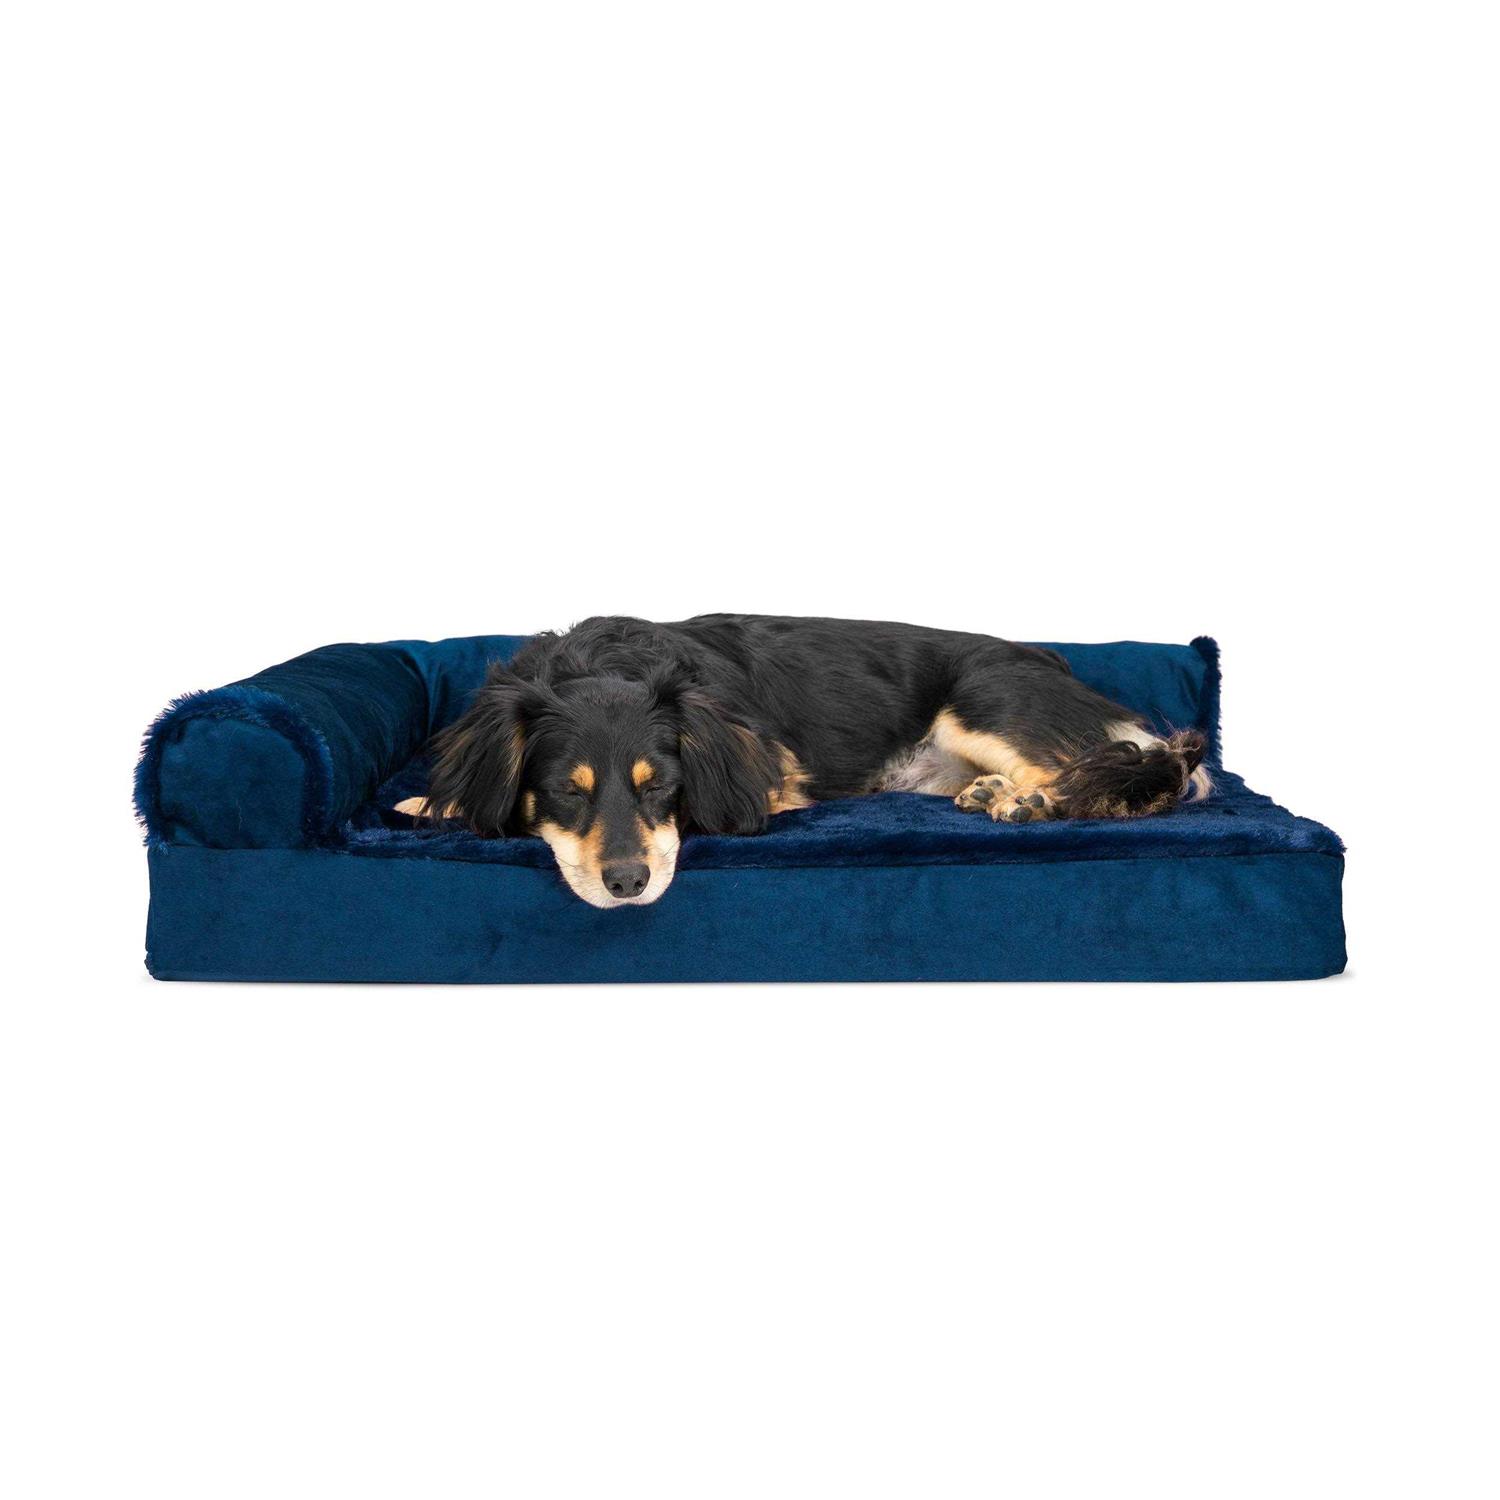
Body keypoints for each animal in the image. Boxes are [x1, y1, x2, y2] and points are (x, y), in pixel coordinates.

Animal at [396, 615, 1210, 908]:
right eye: (565, 792)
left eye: (663, 787)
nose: (627, 884)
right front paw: (430, 802)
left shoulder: (769, 777)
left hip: (987, 698)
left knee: (1153, 773)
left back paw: (1032, 801)